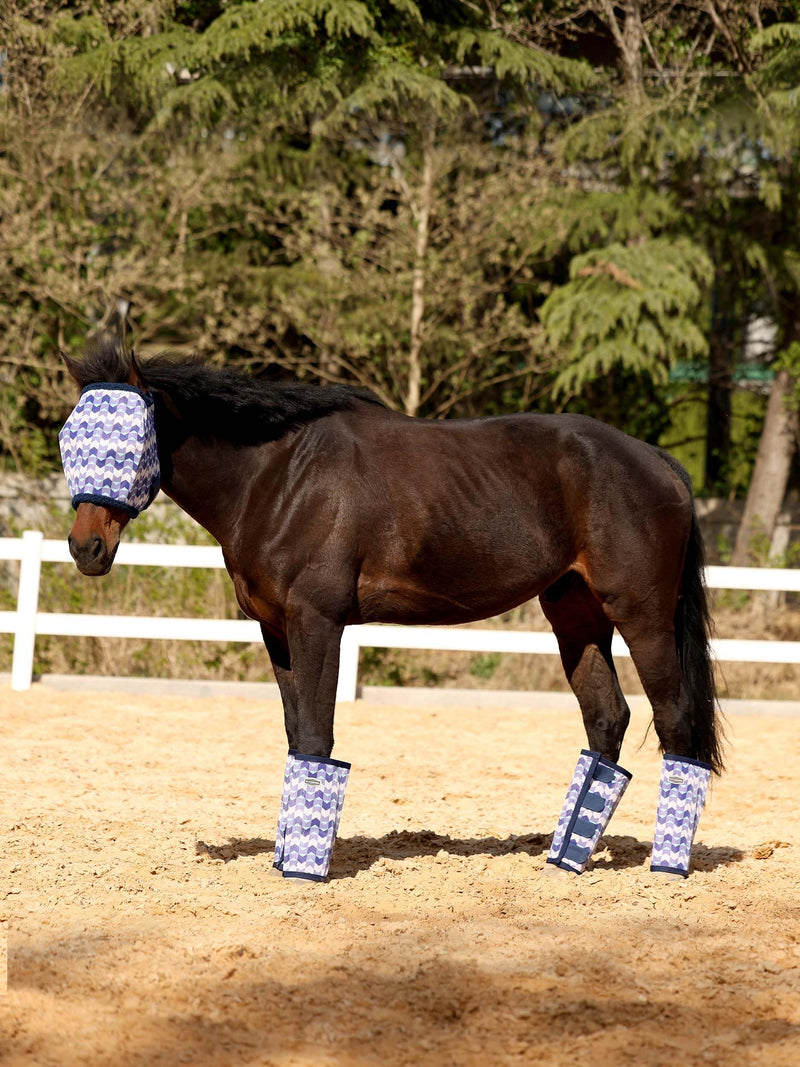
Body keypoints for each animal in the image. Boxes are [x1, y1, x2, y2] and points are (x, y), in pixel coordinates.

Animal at [60, 340, 722, 880]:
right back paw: (565, 860)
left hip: (642, 617)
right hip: (576, 617)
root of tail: (657, 462)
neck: (278, 478)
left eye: (130, 442)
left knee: (675, 722)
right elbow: (295, 735)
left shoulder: (317, 623)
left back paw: (666, 867)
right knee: (607, 720)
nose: (85, 547)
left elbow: (317, 736)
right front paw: (285, 855)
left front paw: (305, 868)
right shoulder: (277, 632)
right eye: (71, 437)